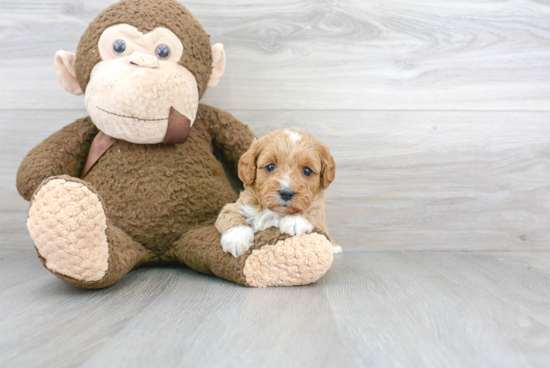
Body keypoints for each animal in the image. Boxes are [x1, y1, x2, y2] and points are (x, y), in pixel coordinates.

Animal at [216, 128, 340, 258]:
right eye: (270, 166)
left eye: (307, 171)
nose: (286, 194)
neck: (273, 211)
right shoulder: (234, 207)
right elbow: (230, 216)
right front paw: (236, 238)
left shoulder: (321, 220)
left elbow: (315, 211)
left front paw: (295, 220)